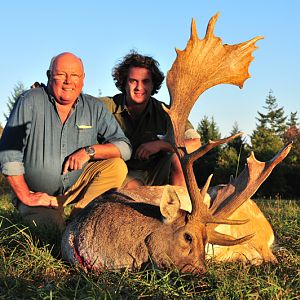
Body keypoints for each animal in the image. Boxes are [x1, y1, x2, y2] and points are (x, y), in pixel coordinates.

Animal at [60, 12, 290, 274]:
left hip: (256, 235)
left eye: (205, 240)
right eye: (188, 236)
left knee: (268, 257)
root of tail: (270, 230)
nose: (201, 270)